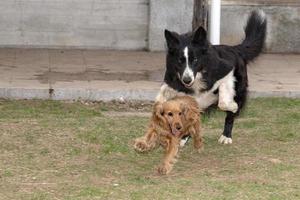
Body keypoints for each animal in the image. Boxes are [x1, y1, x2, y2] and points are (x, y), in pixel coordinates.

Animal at [156, 9, 266, 144]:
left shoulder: (226, 70)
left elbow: (223, 101)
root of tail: (235, 49)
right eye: (180, 61)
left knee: (230, 114)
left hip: (240, 86)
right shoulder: (172, 82)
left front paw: (233, 106)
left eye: (195, 60)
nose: (187, 80)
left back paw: (226, 135)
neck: (198, 76)